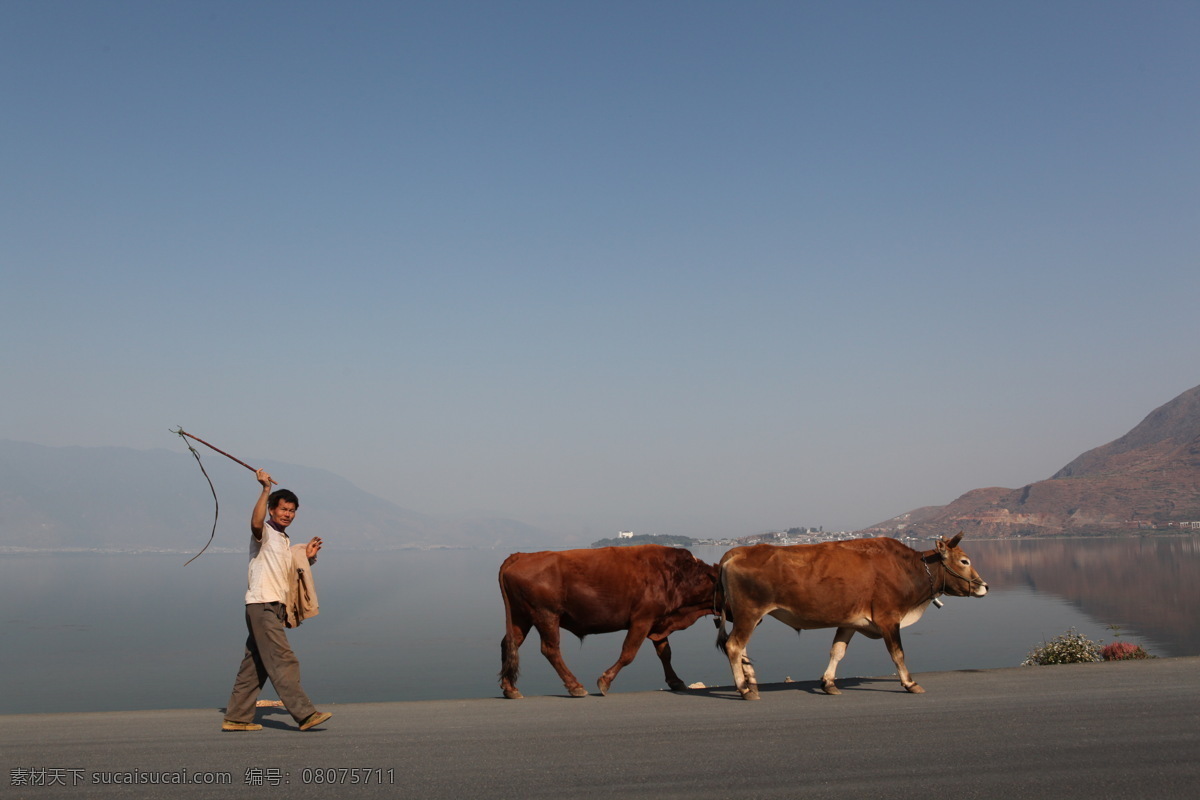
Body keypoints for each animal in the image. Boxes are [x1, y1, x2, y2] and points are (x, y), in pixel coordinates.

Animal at [494, 546, 710, 695]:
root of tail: (523, 555)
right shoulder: (642, 620)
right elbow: (628, 653)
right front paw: (605, 681)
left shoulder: (658, 621)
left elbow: (665, 653)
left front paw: (676, 681)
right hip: (546, 615)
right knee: (550, 649)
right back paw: (575, 686)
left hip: (521, 617)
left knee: (510, 644)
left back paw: (510, 689)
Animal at [715, 532, 988, 700]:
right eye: (964, 561)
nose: (984, 586)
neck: (907, 568)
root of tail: (738, 551)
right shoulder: (889, 619)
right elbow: (898, 653)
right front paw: (910, 683)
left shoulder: (850, 622)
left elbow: (837, 651)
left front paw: (828, 683)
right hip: (749, 614)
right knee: (734, 646)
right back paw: (744, 689)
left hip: (748, 617)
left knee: (740, 648)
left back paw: (750, 681)